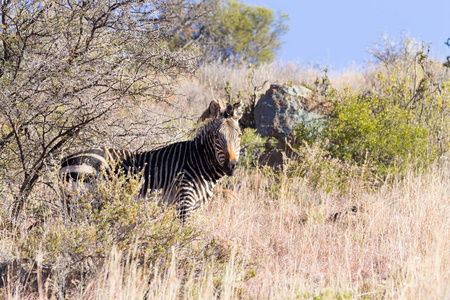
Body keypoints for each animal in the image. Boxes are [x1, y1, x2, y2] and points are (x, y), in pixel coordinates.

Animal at [59, 101, 243, 223]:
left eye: (239, 135)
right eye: (216, 137)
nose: (231, 166)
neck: (198, 161)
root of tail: (66, 159)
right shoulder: (184, 200)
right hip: (82, 200)